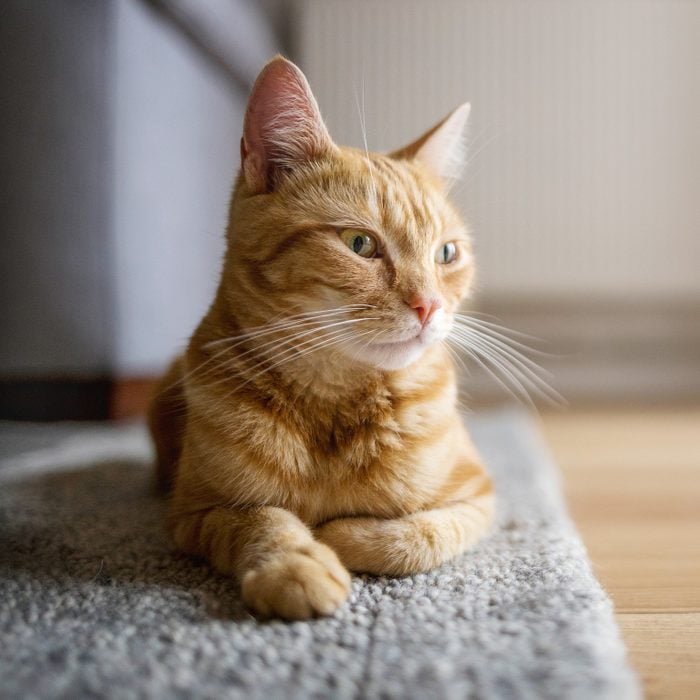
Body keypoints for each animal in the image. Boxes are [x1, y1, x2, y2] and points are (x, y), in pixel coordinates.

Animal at [150, 57, 494, 620]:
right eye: (360, 244)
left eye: (446, 254)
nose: (429, 306)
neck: (333, 406)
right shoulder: (195, 514)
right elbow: (262, 519)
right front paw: (297, 562)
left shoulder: (478, 497)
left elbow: (418, 537)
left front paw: (341, 535)